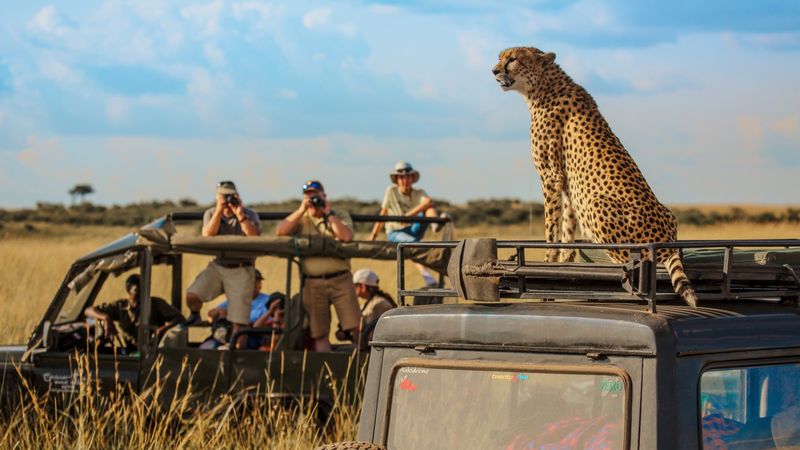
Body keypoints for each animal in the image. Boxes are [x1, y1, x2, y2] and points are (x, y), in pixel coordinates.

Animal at [492, 46, 698, 307]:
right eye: (500, 57)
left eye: (512, 59)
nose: (494, 70)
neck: (542, 86)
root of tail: (667, 243)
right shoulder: (568, 185)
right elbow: (567, 229)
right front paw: (564, 265)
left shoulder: (550, 177)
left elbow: (551, 228)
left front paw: (547, 263)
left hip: (597, 204)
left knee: (629, 264)